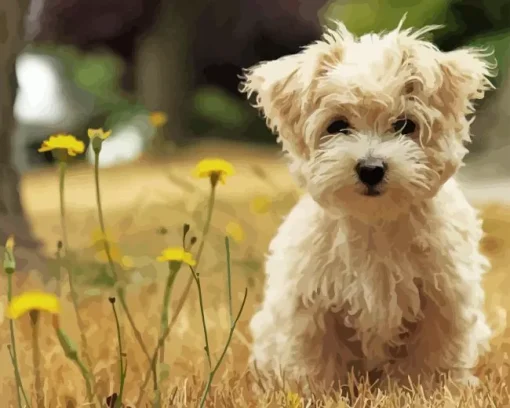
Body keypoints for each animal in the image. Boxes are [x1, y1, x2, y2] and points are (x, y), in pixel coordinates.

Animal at [240, 19, 498, 392]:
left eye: (405, 125)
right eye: (337, 126)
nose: (371, 168)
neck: (376, 222)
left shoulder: (444, 296)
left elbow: (431, 353)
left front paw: (425, 389)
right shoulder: (312, 301)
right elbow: (318, 356)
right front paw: (320, 393)